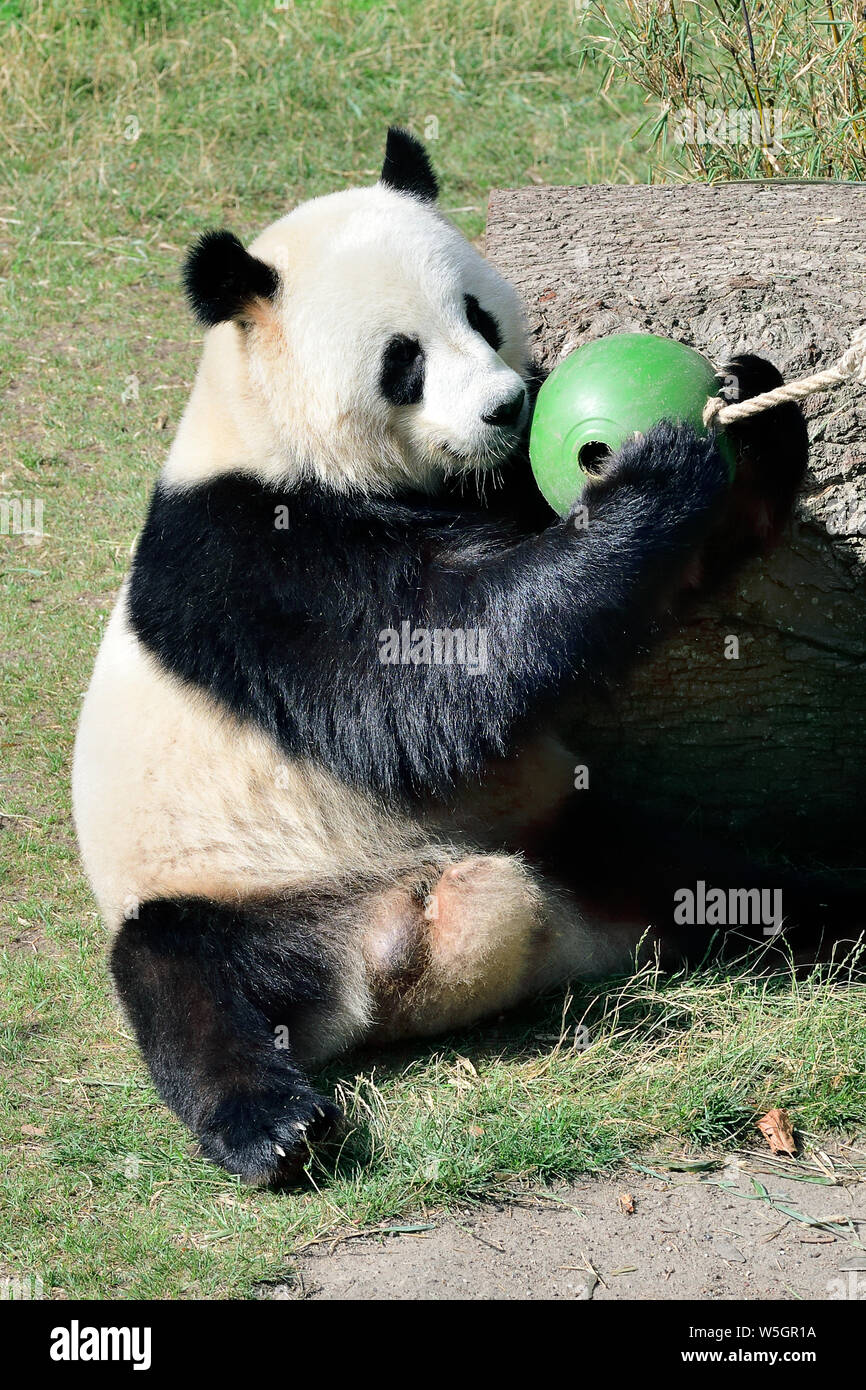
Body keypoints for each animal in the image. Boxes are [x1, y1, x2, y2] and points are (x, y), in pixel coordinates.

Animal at [72, 127, 856, 1184]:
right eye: (401, 360)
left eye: (479, 315)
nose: (508, 406)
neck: (281, 439)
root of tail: (397, 960)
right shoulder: (256, 557)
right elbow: (438, 673)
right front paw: (649, 475)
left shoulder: (491, 489)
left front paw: (755, 405)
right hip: (225, 880)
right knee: (182, 980)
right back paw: (273, 1128)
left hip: (565, 836)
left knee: (717, 883)